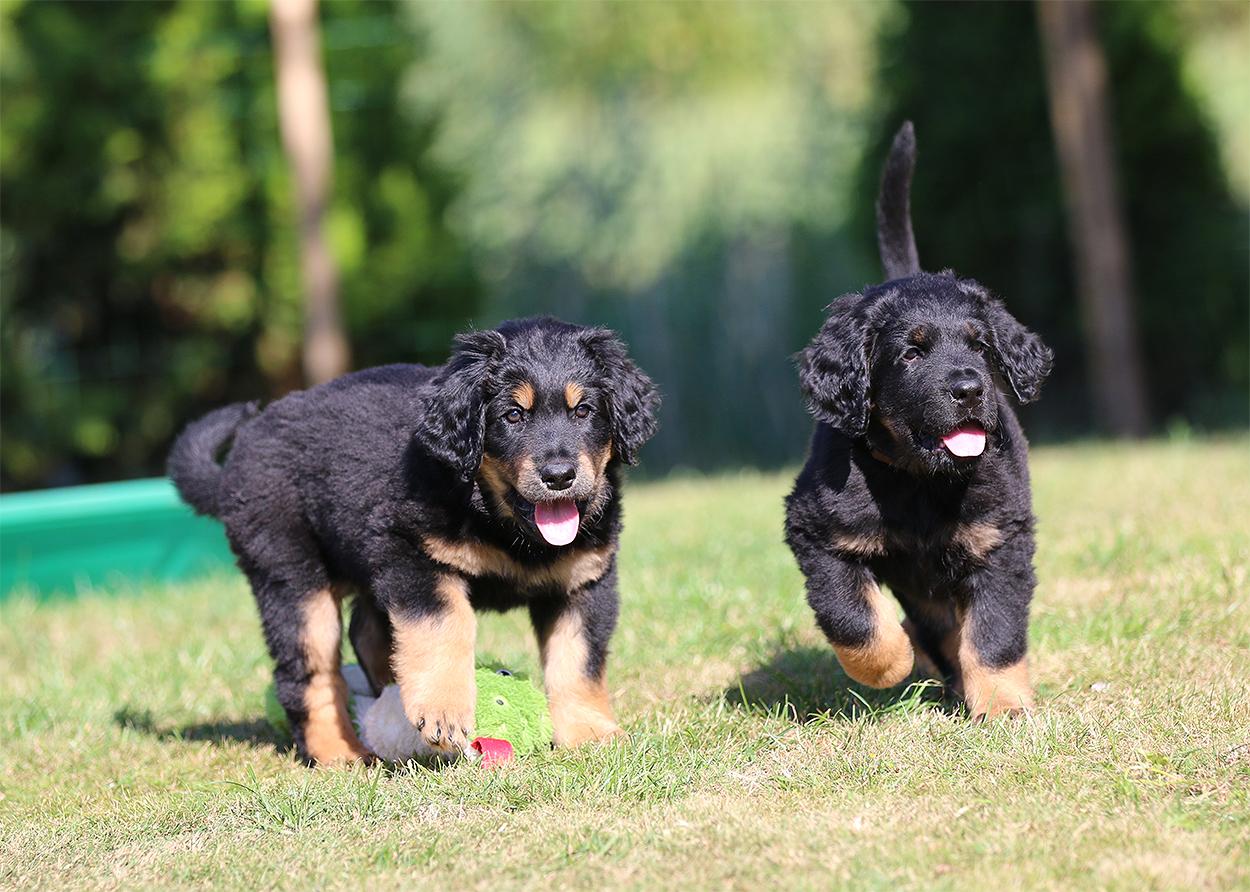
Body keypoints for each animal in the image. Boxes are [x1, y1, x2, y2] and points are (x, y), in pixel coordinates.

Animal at [168, 317, 659, 764]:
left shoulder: (584, 582)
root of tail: (234, 467)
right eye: (513, 415)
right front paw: (443, 711)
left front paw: (590, 734)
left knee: (367, 632)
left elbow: (578, 661)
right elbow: (445, 626)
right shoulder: (414, 556)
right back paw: (339, 752)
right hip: (292, 575)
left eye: (584, 411)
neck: (497, 518)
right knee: (308, 673)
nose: (559, 476)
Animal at [784, 122, 1053, 719]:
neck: (921, 481)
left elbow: (993, 633)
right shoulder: (817, 532)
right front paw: (891, 665)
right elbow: (853, 618)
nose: (969, 390)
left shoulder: (999, 540)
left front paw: (1002, 705)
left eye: (981, 347)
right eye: (911, 353)